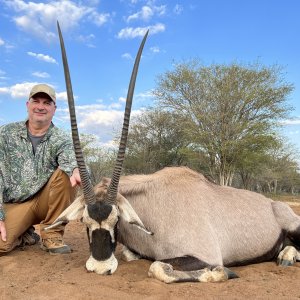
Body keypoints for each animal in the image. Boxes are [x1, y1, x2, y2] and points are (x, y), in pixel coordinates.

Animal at [46, 22, 300, 282]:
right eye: (84, 221)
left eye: (116, 220)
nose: (100, 267)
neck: (152, 208)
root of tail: (273, 203)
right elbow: (131, 255)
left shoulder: (203, 254)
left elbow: (158, 267)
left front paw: (222, 273)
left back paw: (287, 256)